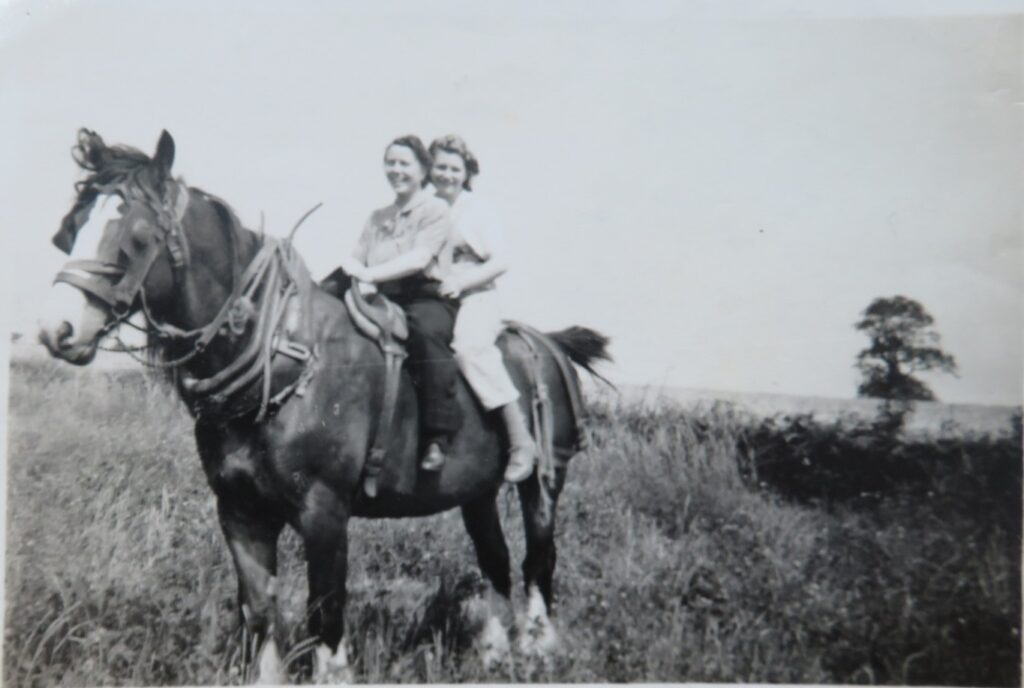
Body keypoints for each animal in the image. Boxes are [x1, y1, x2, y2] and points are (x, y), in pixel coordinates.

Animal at [41, 129, 606, 683]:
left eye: (137, 237)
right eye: (70, 229)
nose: (57, 330)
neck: (284, 363)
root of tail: (549, 344)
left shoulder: (324, 511)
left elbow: (325, 610)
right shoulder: (239, 511)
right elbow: (259, 611)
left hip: (545, 481)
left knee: (539, 559)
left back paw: (537, 648)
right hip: (477, 491)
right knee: (495, 558)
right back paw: (493, 653)